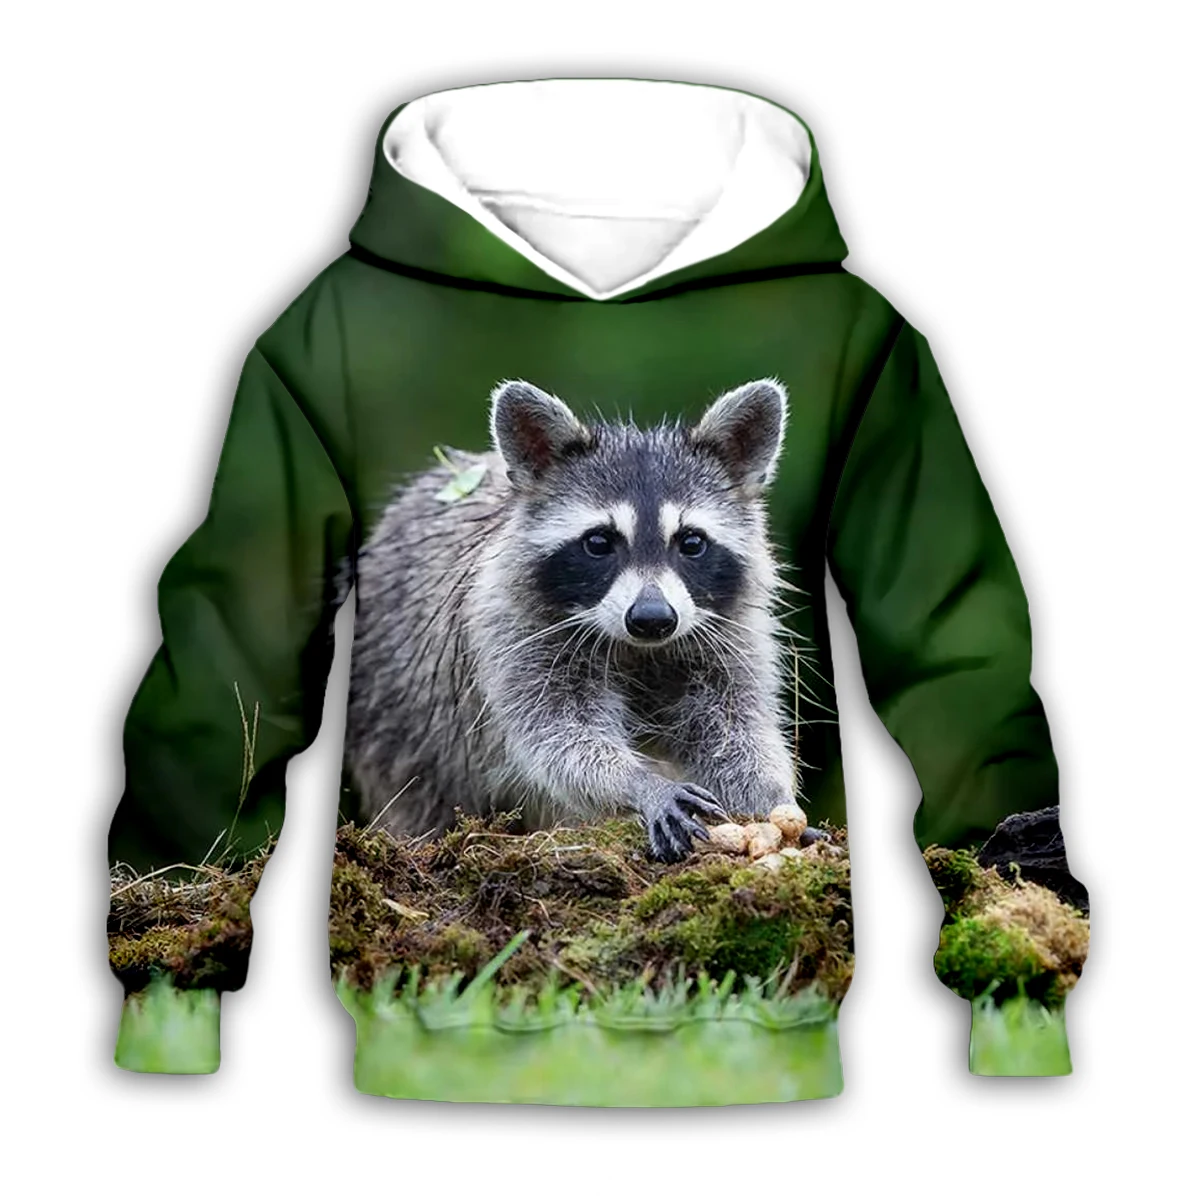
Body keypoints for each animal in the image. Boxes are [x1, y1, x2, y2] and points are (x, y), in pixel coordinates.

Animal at [345, 378, 798, 862]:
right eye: (599, 542)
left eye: (691, 542)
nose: (652, 618)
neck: (638, 649)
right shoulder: (511, 629)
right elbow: (557, 734)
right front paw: (637, 781)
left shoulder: (729, 633)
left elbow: (734, 725)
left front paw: (770, 795)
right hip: (397, 725)